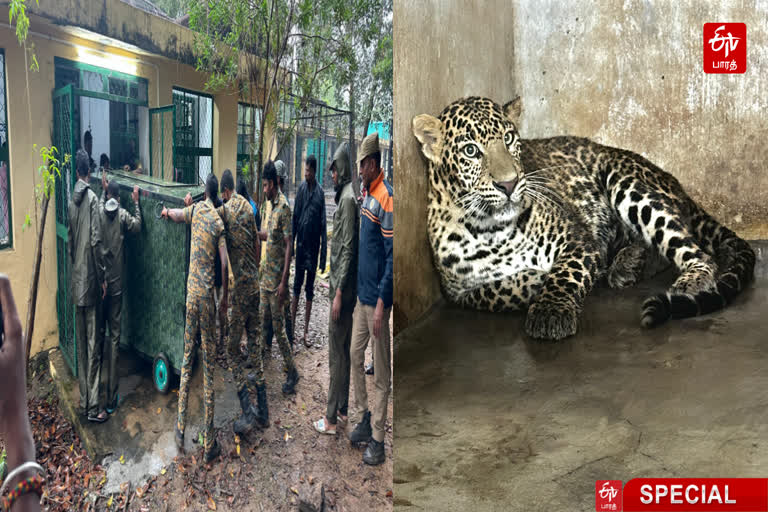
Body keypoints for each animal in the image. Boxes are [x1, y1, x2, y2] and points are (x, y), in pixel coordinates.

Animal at [412, 96, 755, 341]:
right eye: (471, 151)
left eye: (509, 139)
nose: (509, 183)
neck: (491, 229)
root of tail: (676, 183)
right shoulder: (456, 292)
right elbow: (497, 291)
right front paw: (535, 282)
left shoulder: (578, 239)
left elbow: (564, 274)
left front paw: (550, 311)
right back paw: (628, 265)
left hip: (624, 180)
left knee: (698, 253)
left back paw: (683, 282)